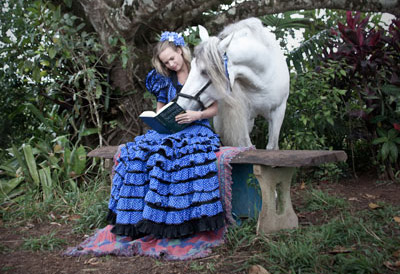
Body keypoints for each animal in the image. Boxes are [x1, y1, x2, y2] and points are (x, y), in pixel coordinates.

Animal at [177, 17, 290, 150]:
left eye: (204, 71)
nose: (180, 105)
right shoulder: (241, 115)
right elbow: (246, 146)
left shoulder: (278, 112)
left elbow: (272, 147)